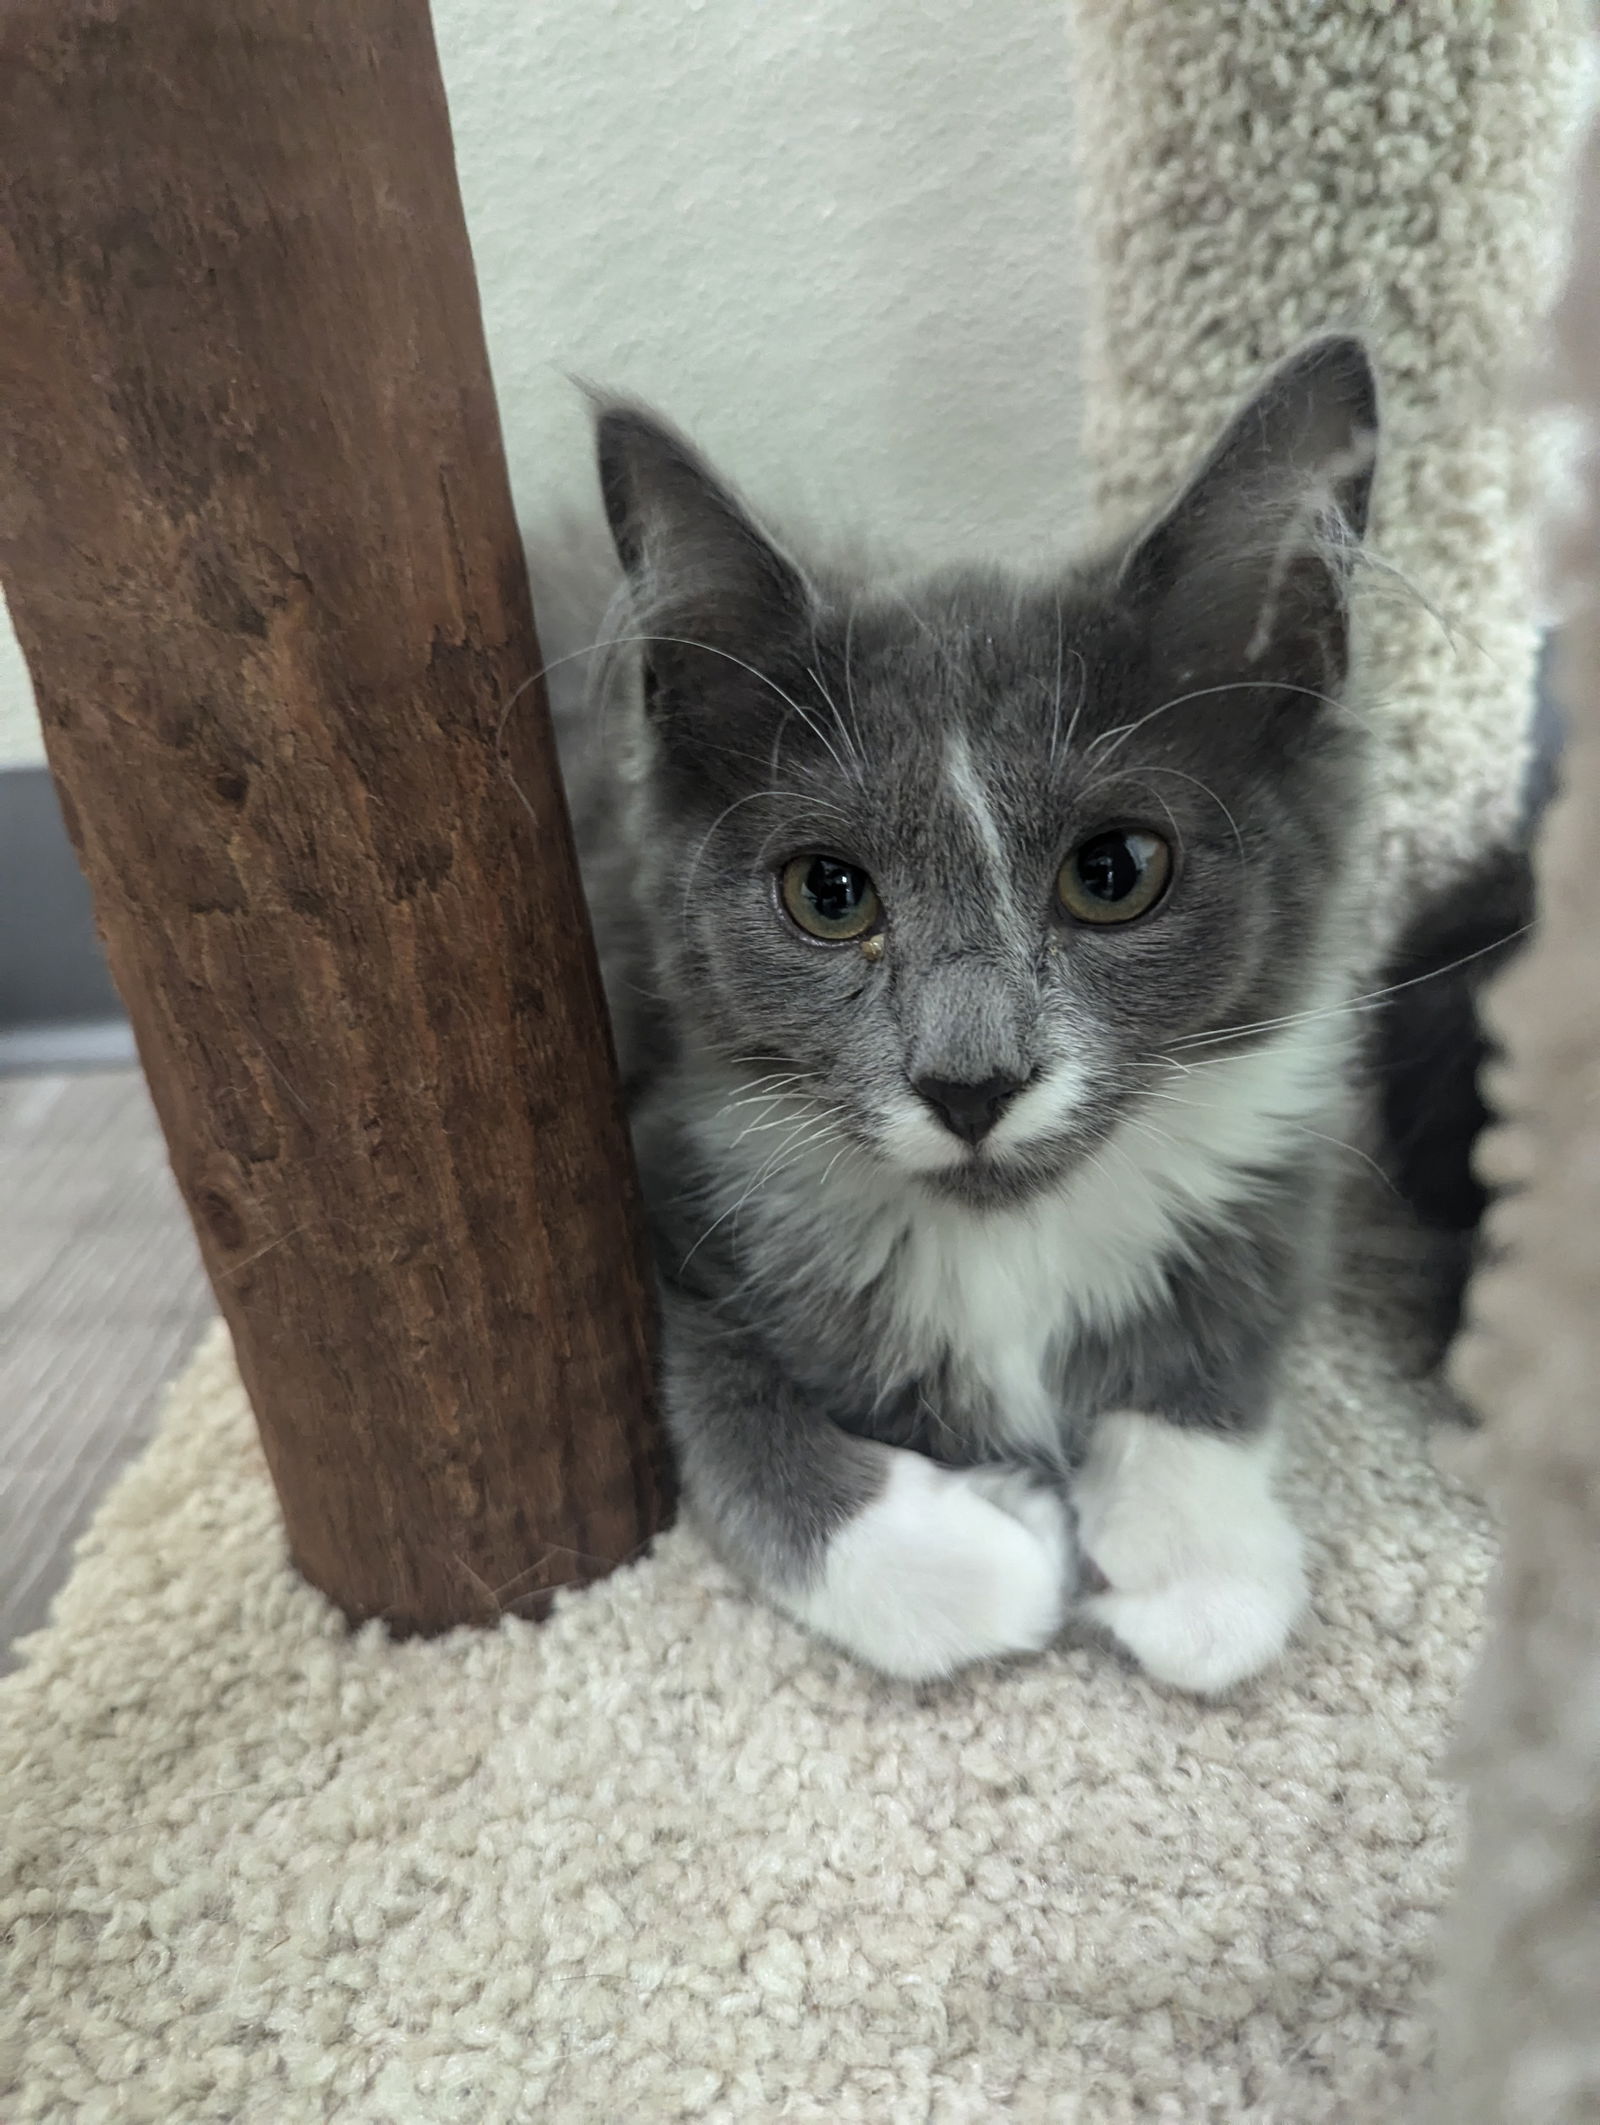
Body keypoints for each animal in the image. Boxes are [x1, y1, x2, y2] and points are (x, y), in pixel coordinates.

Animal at [560, 335, 1376, 1691]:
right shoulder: (655, 1163)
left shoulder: (1281, 1153)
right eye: (828, 894)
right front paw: (978, 1553)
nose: (970, 1081)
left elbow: (1227, 1335)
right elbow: (717, 1401)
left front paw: (1197, 1556)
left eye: (1114, 872)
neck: (1006, 1243)